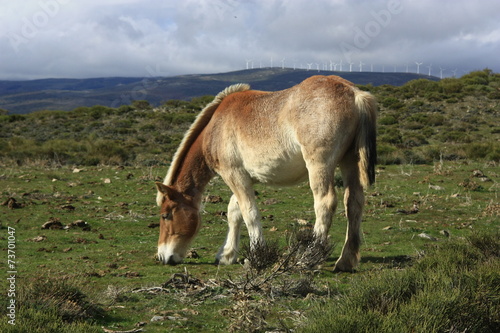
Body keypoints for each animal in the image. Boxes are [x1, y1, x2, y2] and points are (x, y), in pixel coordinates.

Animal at [154, 74, 376, 270]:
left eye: (166, 215)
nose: (163, 257)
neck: (216, 127)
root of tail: (354, 94)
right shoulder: (246, 179)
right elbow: (234, 211)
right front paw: (226, 255)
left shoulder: (234, 175)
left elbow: (249, 213)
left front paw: (255, 255)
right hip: (349, 162)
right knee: (354, 203)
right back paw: (345, 262)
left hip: (320, 166)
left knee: (325, 203)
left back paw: (308, 259)